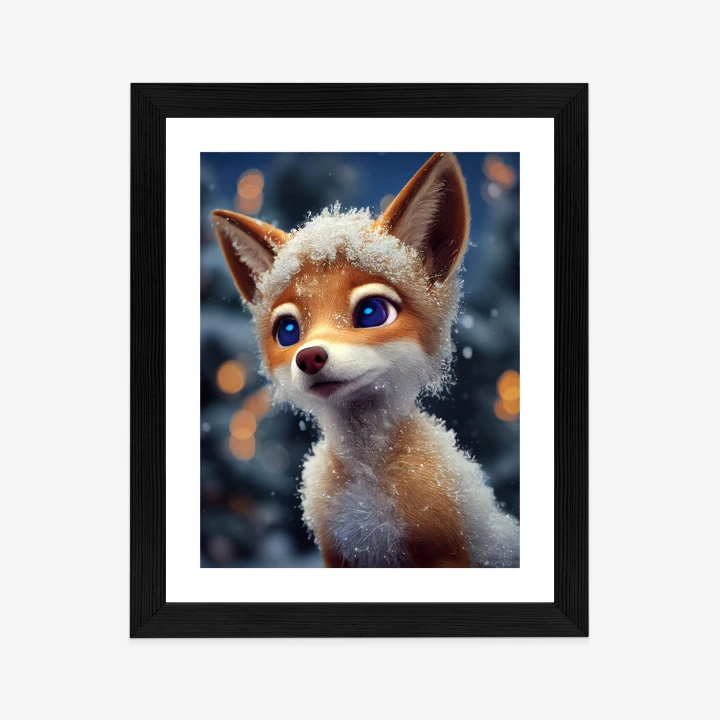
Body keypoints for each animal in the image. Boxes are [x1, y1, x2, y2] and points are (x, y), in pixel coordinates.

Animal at [211, 152, 519, 568]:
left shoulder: (442, 548)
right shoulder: (338, 551)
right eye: (287, 331)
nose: (310, 357)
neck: (367, 484)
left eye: (372, 312)